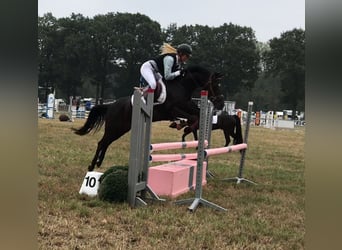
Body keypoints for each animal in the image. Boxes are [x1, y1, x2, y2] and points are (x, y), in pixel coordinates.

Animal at [72, 64, 224, 171]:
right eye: (215, 85)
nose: (221, 104)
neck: (182, 86)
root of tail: (111, 105)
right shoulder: (172, 109)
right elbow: (192, 118)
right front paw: (182, 125)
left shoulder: (188, 107)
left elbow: (197, 116)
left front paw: (188, 131)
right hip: (115, 128)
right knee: (102, 143)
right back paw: (92, 165)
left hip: (121, 129)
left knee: (106, 143)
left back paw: (99, 162)